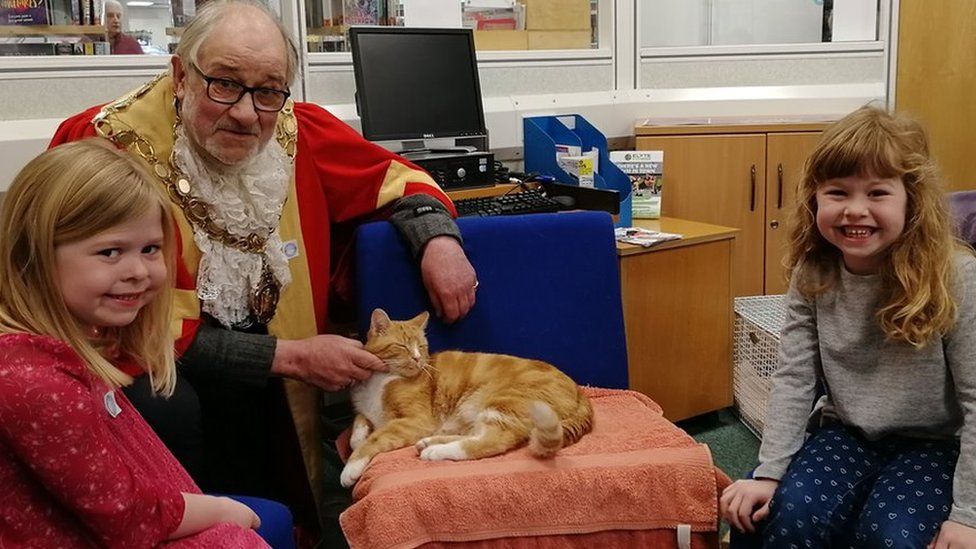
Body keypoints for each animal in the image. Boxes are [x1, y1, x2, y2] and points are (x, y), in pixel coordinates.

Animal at [340, 308, 592, 488]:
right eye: (402, 346)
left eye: (421, 346)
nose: (418, 359)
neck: (382, 379)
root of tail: (579, 391)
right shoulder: (369, 410)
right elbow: (358, 424)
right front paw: (358, 436)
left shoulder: (416, 420)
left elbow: (377, 437)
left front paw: (352, 466)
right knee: (475, 434)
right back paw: (430, 443)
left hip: (502, 402)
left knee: (491, 442)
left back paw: (435, 451)